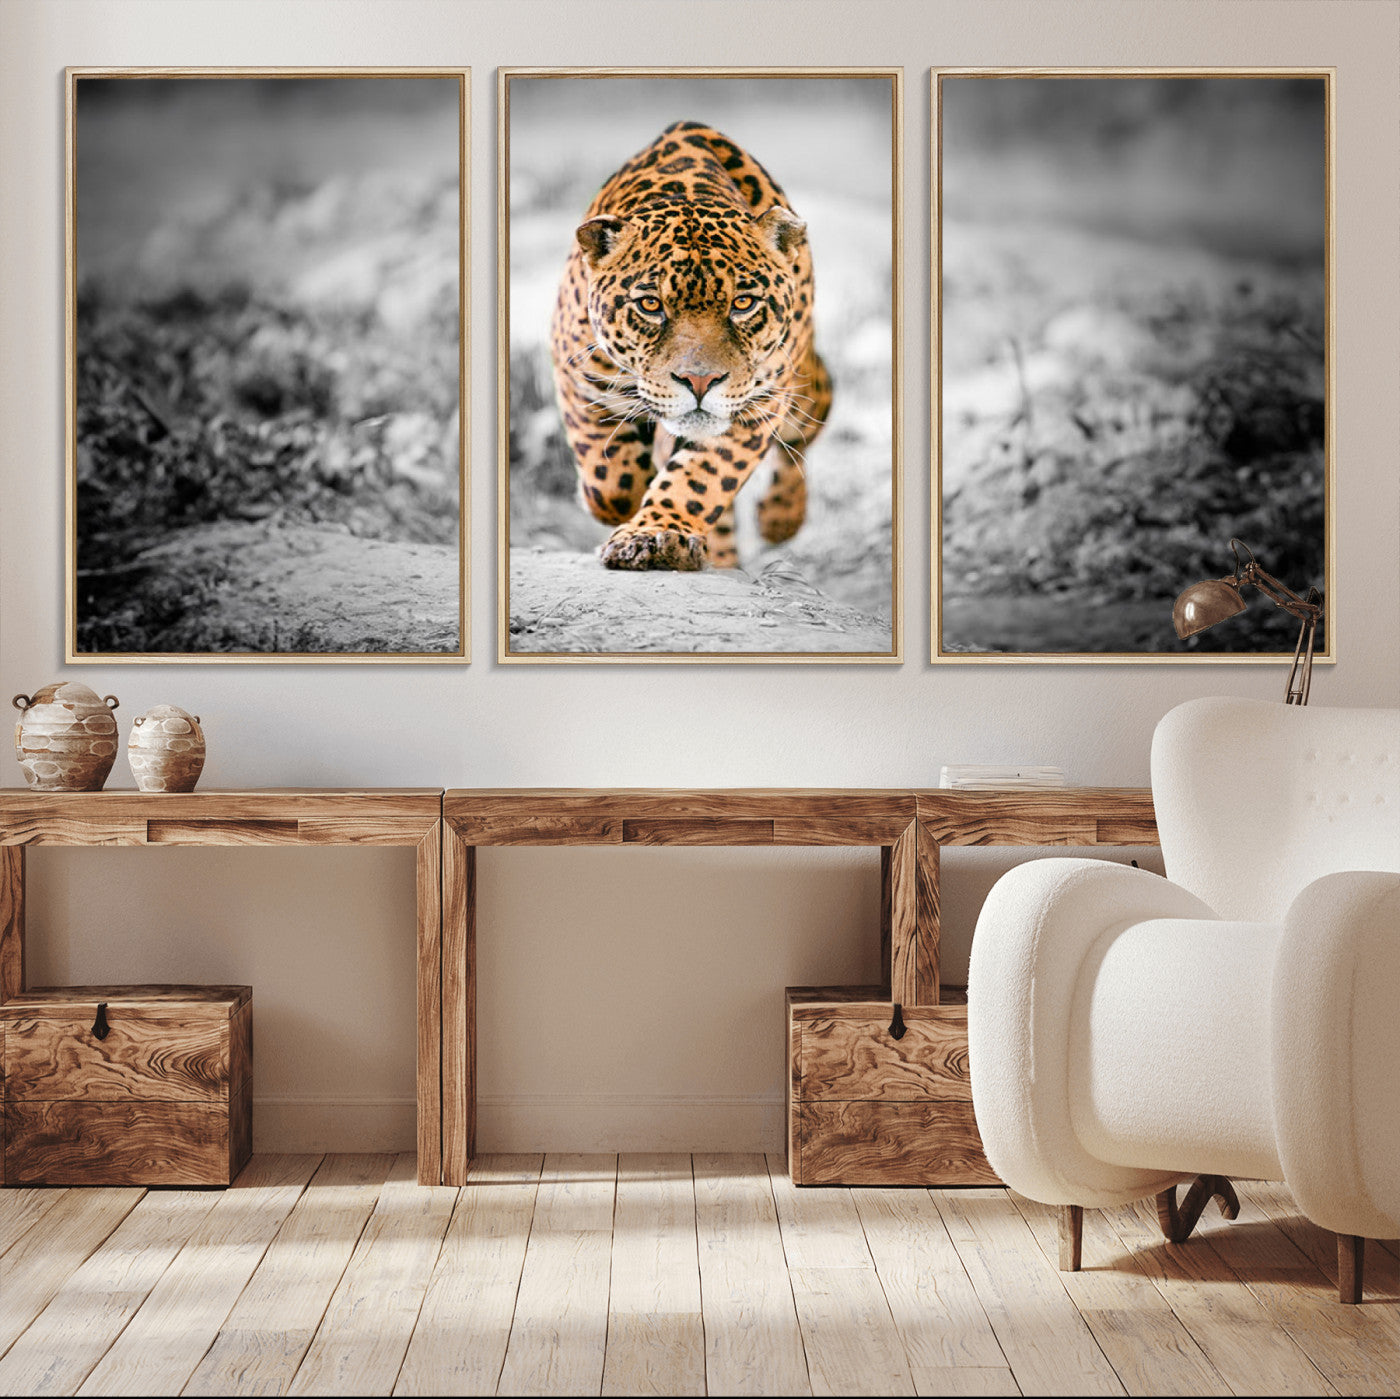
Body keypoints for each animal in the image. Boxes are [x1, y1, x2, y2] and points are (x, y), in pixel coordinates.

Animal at [548, 121, 832, 571]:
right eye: (650, 305)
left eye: (743, 303)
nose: (700, 382)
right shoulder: (580, 376)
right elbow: (610, 480)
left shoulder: (758, 404)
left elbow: (702, 478)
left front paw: (655, 534)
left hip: (801, 387)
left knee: (808, 424)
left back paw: (780, 518)